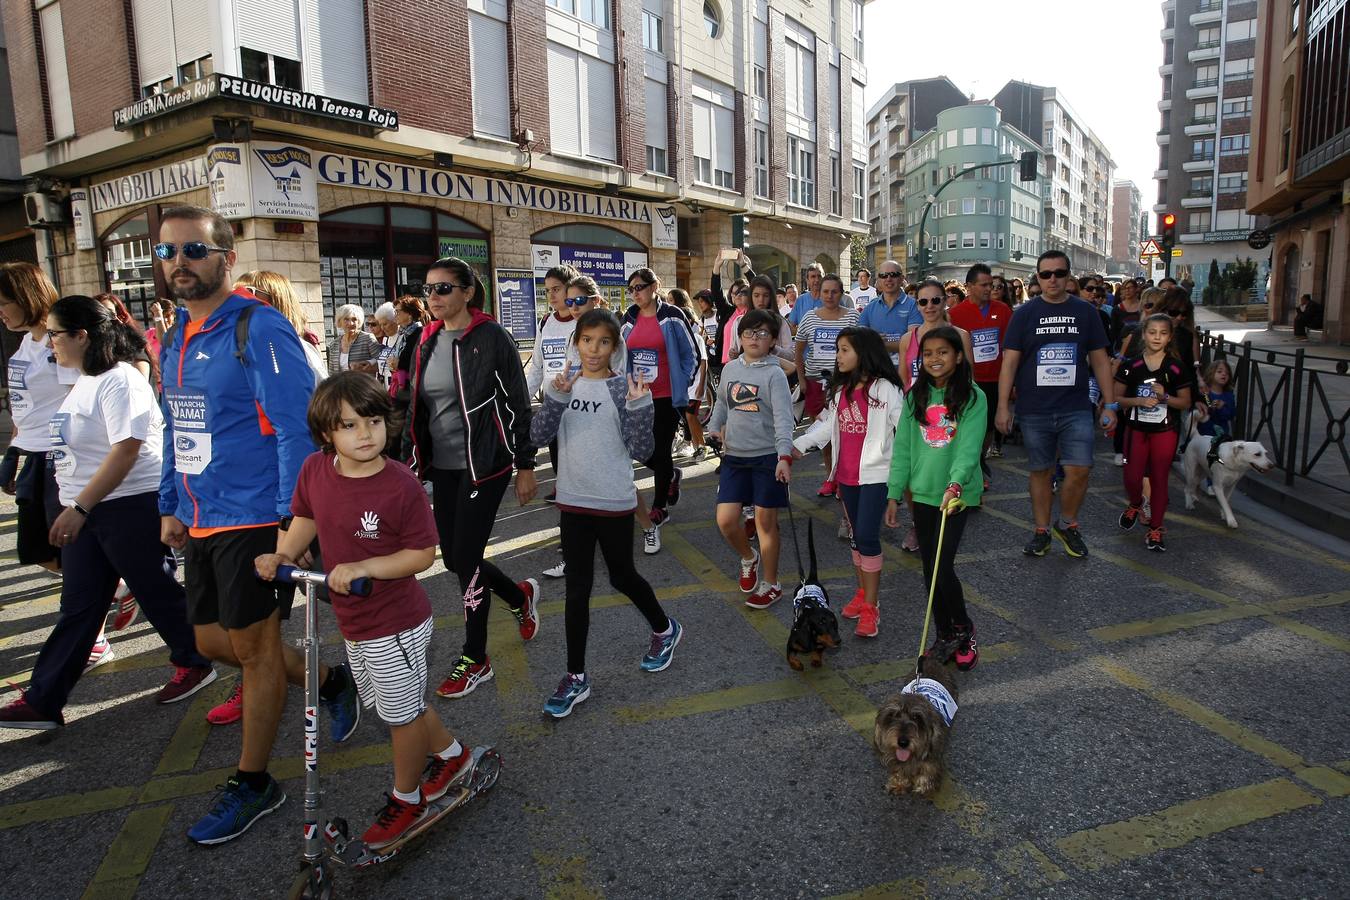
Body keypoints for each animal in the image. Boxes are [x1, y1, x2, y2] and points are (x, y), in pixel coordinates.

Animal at [869, 655, 955, 793]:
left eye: (916, 717)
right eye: (893, 715)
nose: (903, 742)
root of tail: (931, 659)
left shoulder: (934, 753)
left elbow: (929, 768)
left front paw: (923, 784)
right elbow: (899, 768)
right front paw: (899, 783)